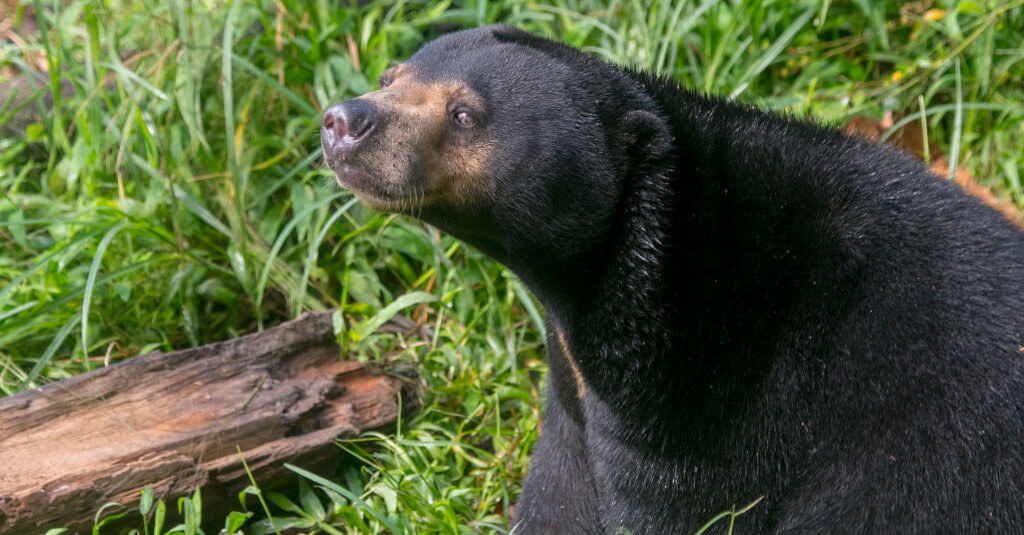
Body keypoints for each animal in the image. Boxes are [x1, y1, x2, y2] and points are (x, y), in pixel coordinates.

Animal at [320, 25, 1024, 534]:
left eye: (465, 114)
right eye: (388, 77)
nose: (343, 120)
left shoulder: (714, 422)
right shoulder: (577, 415)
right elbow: (557, 499)